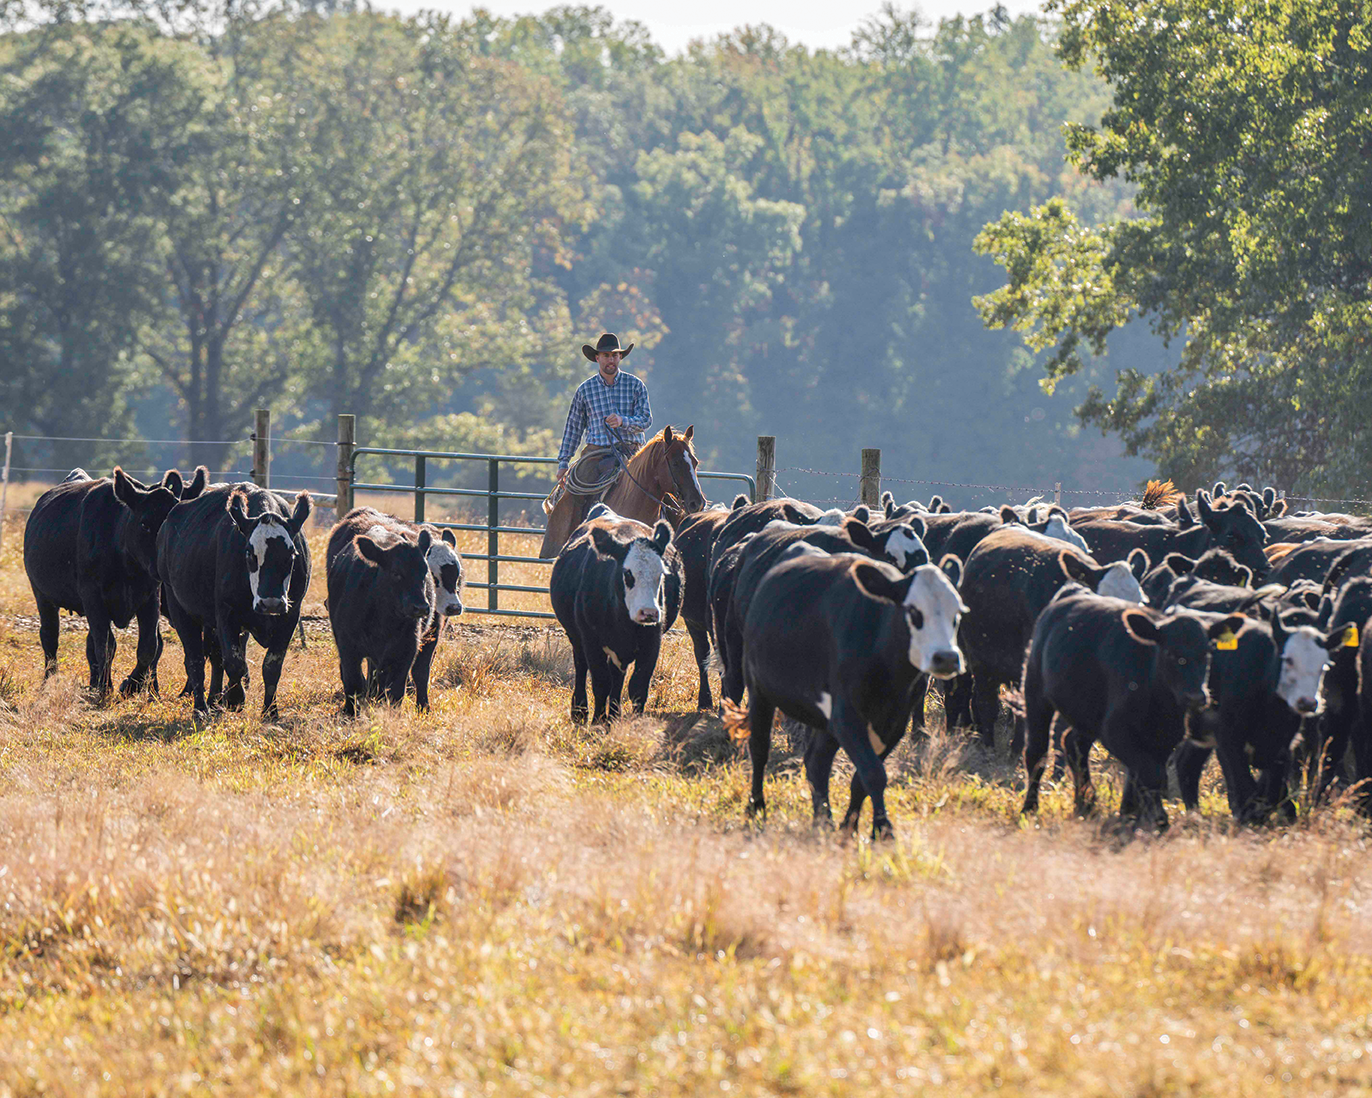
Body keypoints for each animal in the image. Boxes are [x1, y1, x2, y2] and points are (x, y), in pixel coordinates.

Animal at [23, 463, 205, 694]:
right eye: (144, 524)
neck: (127, 566)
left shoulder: (150, 597)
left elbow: (149, 646)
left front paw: (131, 685)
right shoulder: (93, 597)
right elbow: (106, 645)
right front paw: (105, 688)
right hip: (42, 595)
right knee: (49, 637)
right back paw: (50, 681)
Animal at [157, 485, 311, 713]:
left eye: (291, 554)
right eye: (249, 553)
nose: (271, 603)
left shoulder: (290, 615)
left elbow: (271, 665)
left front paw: (270, 711)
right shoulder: (226, 613)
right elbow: (234, 661)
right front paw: (234, 698)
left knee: (214, 657)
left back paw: (213, 699)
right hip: (179, 608)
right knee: (196, 660)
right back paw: (201, 708)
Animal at [740, 549, 965, 839]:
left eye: (957, 613)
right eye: (913, 610)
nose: (946, 658)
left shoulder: (895, 721)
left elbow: (861, 778)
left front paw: (849, 827)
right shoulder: (846, 715)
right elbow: (873, 773)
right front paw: (883, 829)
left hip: (825, 721)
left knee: (816, 762)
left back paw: (822, 820)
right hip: (759, 690)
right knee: (759, 748)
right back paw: (756, 808)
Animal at [1020, 587, 1245, 828]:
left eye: (1207, 653)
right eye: (1170, 653)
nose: (1196, 696)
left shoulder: (1166, 738)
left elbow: (1143, 774)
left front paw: (1130, 814)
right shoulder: (1115, 730)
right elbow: (1150, 773)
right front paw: (1158, 819)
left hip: (1088, 711)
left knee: (1073, 743)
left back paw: (1086, 804)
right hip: (1035, 691)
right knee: (1036, 752)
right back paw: (1030, 808)